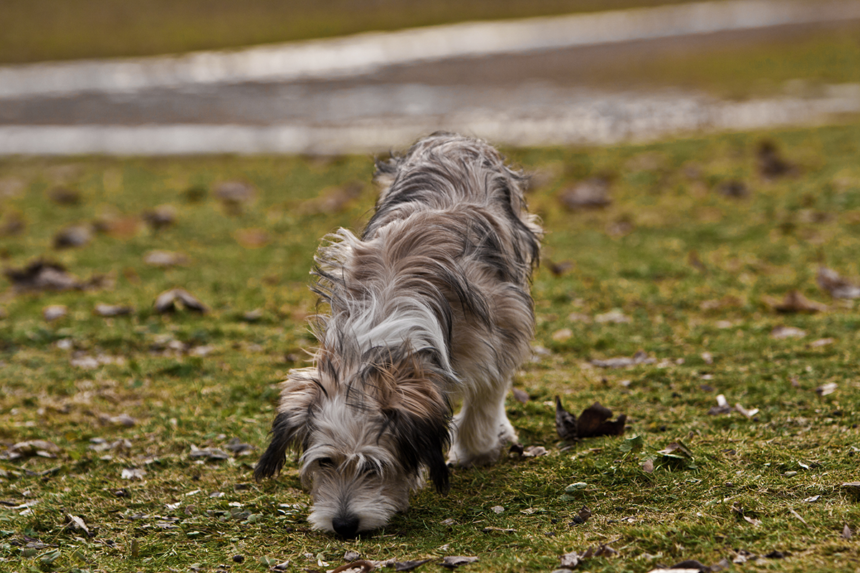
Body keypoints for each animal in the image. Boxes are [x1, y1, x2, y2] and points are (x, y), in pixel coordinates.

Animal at [252, 132, 540, 536]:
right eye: (325, 462)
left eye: (374, 467)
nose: (344, 525)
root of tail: (455, 140)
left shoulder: (502, 328)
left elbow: (488, 392)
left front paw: (477, 447)